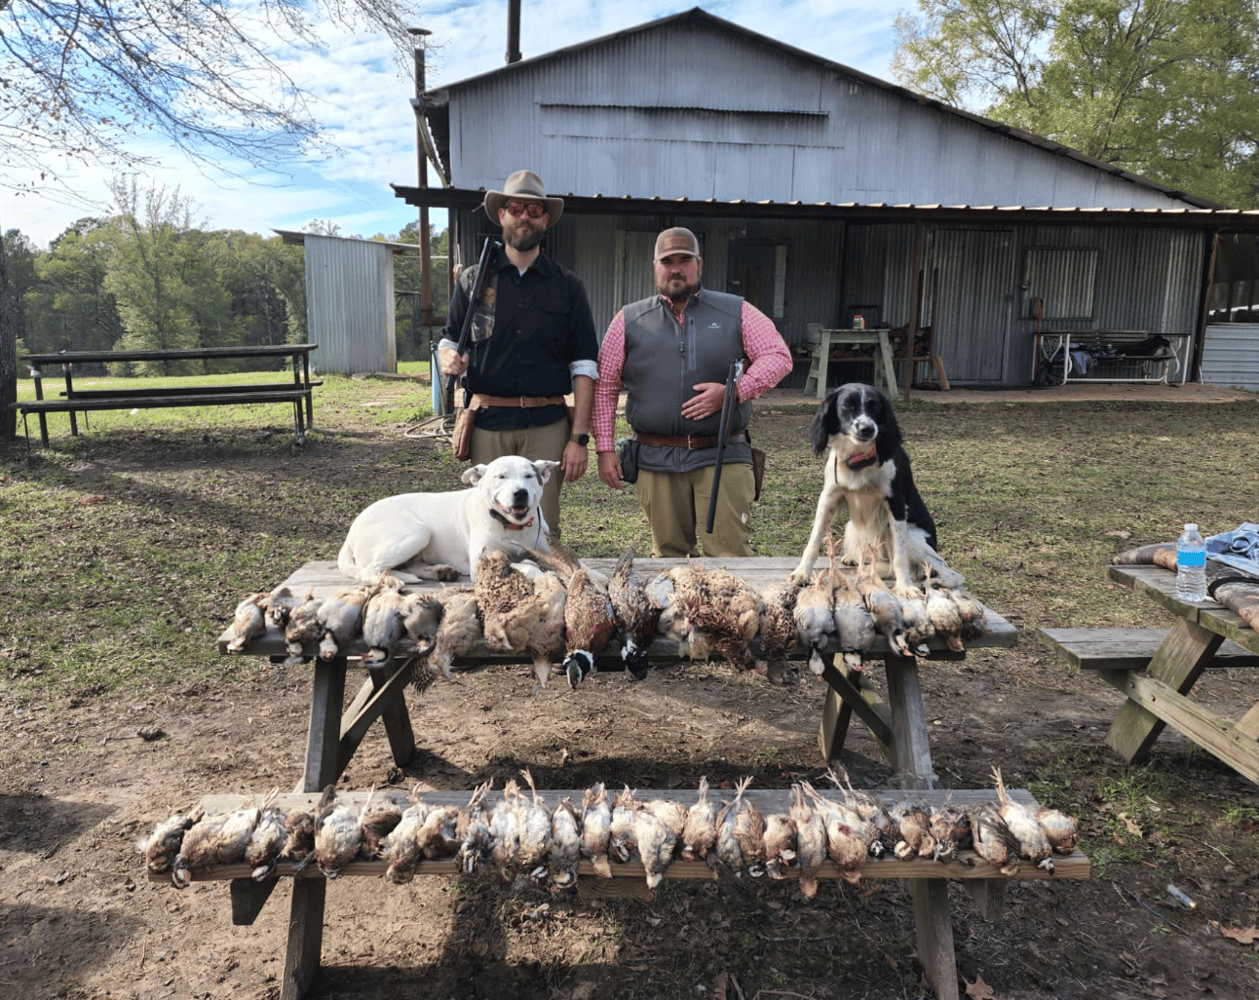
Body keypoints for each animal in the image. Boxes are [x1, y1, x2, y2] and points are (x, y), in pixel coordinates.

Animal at [334, 453, 556, 584]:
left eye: (529, 476)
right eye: (501, 477)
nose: (520, 493)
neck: (512, 527)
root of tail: (351, 531)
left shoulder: (545, 551)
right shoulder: (481, 562)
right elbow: (522, 565)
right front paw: (536, 572)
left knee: (403, 567)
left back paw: (438, 572)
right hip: (418, 532)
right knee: (368, 570)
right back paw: (390, 580)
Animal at [790, 382, 956, 591]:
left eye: (874, 406)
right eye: (847, 404)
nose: (867, 429)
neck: (859, 459)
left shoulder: (896, 503)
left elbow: (900, 556)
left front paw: (905, 587)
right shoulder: (829, 497)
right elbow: (814, 540)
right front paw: (802, 573)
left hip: (912, 536)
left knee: (946, 570)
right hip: (851, 528)